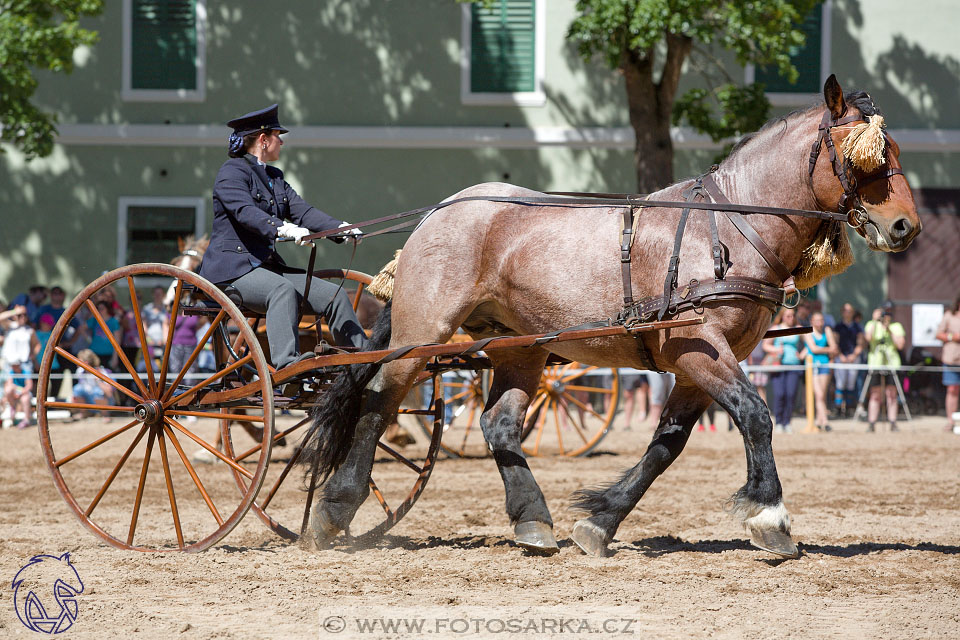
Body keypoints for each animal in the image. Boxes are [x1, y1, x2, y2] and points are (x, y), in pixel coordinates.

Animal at [302, 75, 924, 556]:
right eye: (868, 156)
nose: (905, 227)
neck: (728, 227)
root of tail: (441, 211)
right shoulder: (698, 348)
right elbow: (755, 415)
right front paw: (770, 518)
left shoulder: (695, 365)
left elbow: (666, 445)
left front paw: (599, 522)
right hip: (422, 332)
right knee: (379, 401)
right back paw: (335, 509)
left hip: (520, 347)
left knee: (499, 423)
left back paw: (532, 519)